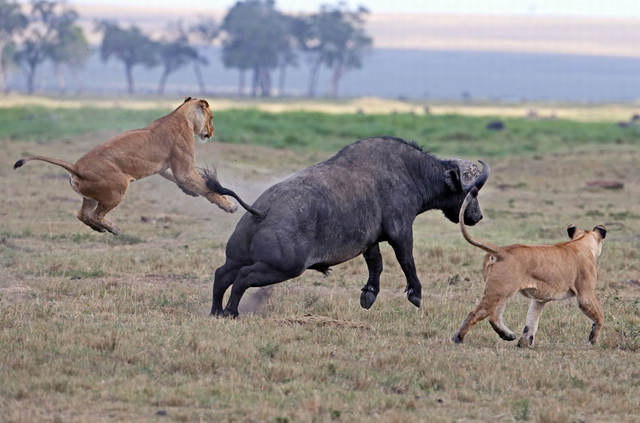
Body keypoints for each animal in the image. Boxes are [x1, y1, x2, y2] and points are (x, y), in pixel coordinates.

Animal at [206, 137, 490, 318]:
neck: (411, 173)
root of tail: (263, 211)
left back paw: (216, 311)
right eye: (473, 192)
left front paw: (369, 295)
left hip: (237, 257)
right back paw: (231, 312)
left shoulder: (371, 240)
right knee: (243, 277)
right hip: (283, 267)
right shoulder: (400, 231)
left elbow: (376, 265)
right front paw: (415, 294)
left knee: (222, 274)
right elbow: (407, 261)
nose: (477, 216)